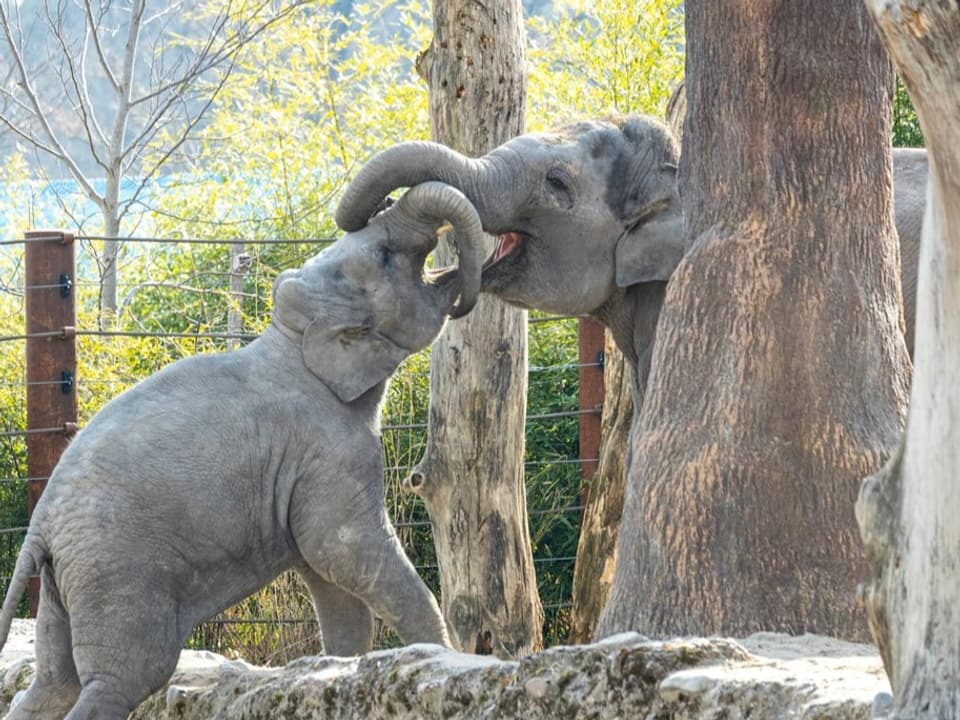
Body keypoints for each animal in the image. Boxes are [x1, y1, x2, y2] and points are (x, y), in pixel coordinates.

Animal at [0, 181, 480, 720]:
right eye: (384, 255)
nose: (386, 200)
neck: (294, 342)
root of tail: (39, 527)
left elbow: (330, 581)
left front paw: (337, 673)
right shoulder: (331, 450)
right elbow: (344, 550)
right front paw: (438, 655)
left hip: (64, 582)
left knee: (51, 684)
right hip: (115, 575)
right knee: (120, 679)